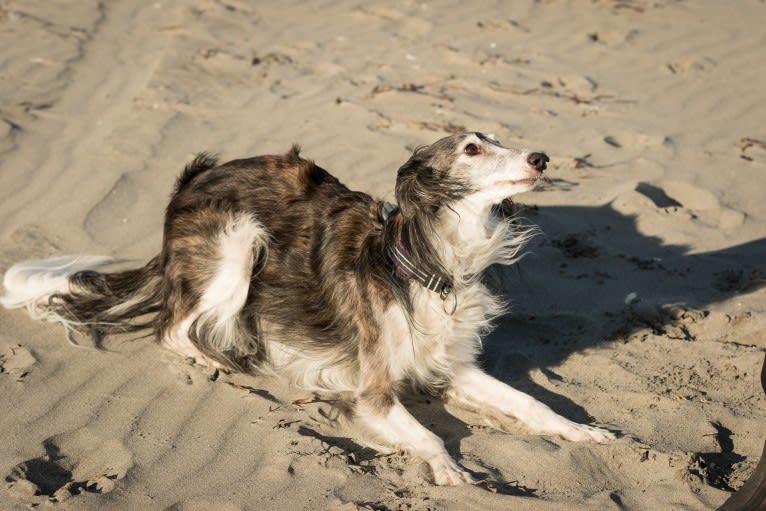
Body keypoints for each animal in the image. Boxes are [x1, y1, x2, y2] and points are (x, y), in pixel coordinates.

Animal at [0, 131, 616, 484]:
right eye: (471, 148)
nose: (541, 157)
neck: (429, 260)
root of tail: (186, 186)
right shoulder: (371, 392)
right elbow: (431, 434)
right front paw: (447, 467)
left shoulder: (454, 366)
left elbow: (531, 403)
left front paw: (581, 430)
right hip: (238, 242)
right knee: (173, 330)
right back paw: (217, 358)